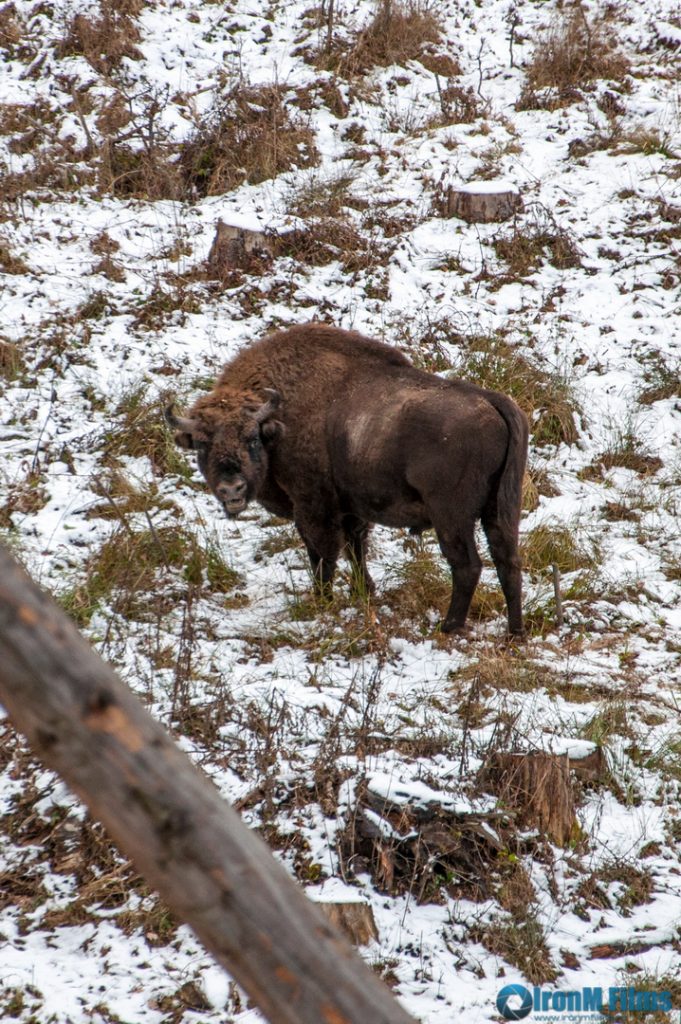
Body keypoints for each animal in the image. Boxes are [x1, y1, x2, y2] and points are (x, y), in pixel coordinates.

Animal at [165, 323, 528, 636]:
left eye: (251, 438)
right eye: (202, 443)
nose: (231, 489)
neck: (280, 421)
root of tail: (493, 402)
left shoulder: (313, 506)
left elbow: (322, 553)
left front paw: (322, 600)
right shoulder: (351, 508)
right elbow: (356, 549)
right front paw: (363, 592)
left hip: (451, 516)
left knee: (467, 565)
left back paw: (448, 626)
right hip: (500, 509)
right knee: (508, 561)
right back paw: (515, 632)